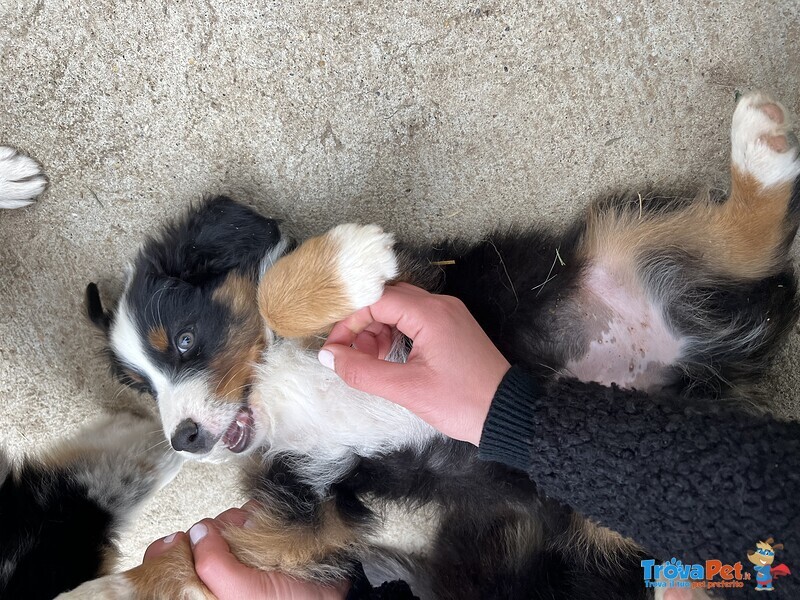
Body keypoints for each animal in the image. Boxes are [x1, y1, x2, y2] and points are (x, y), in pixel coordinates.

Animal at [79, 91, 800, 596]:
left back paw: (760, 143)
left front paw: (348, 260)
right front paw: (128, 581)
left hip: (611, 251)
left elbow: (274, 290)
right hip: (611, 516)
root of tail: (686, 373)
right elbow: (223, 550)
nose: (183, 439)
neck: (277, 388)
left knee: (741, 241)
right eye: (141, 387)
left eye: (185, 340)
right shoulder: (319, 500)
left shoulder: (419, 287)